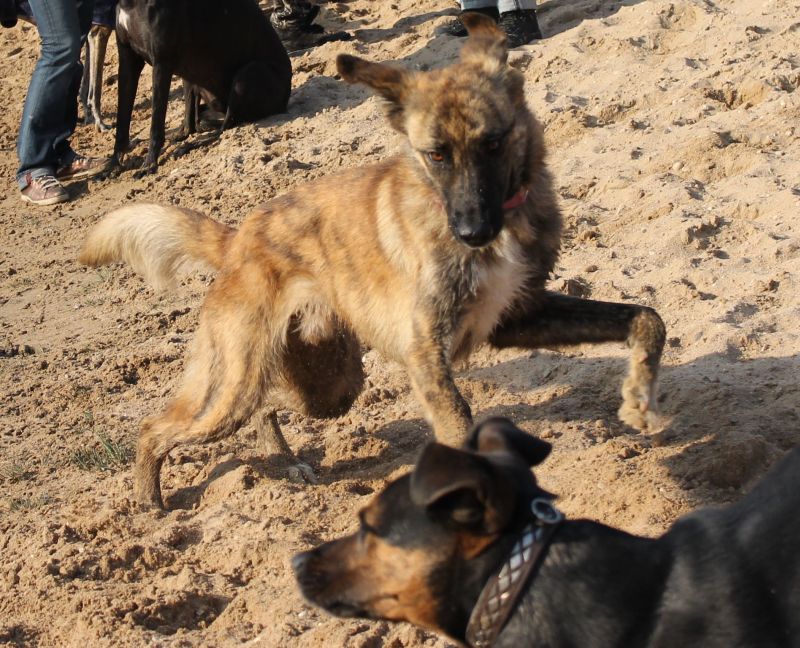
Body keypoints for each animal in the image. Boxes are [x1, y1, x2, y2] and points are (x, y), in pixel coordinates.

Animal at [112, 0, 292, 176]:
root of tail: (285, 102)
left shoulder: (162, 63)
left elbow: (156, 123)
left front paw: (149, 164)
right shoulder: (127, 58)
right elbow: (121, 122)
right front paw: (113, 165)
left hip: (248, 73)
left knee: (224, 128)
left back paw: (188, 146)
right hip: (194, 75)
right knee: (193, 123)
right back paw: (184, 135)